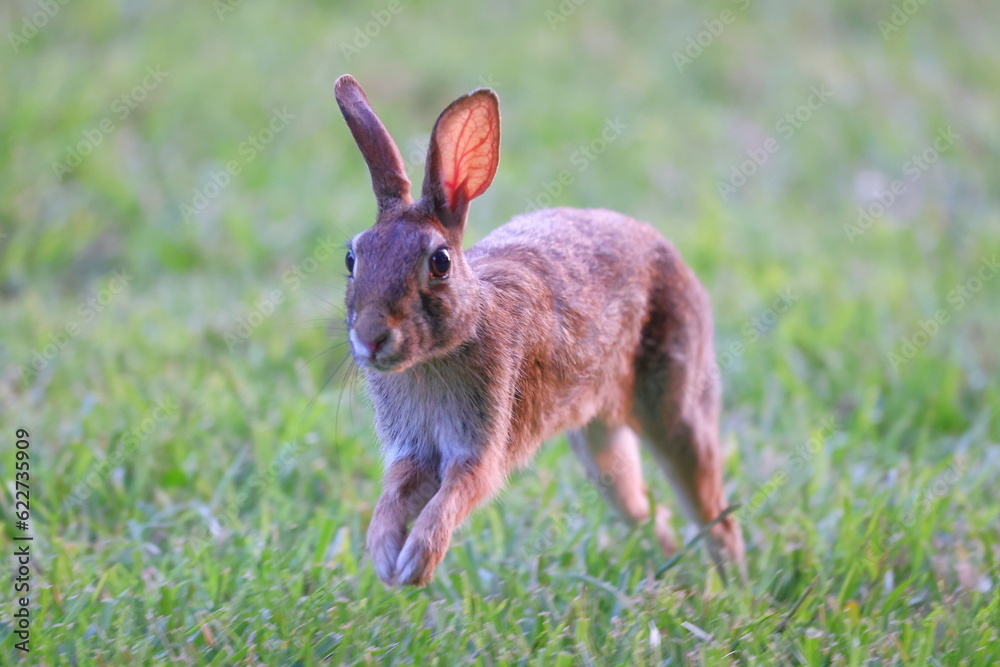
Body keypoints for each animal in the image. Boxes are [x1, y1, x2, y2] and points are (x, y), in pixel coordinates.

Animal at [333, 74, 745, 587]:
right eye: (352, 257)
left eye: (440, 262)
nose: (371, 338)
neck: (442, 350)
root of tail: (669, 252)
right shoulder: (412, 452)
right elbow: (391, 496)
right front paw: (384, 554)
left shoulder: (480, 447)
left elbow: (457, 496)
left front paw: (416, 561)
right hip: (599, 446)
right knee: (645, 509)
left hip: (676, 412)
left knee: (715, 514)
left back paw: (733, 589)